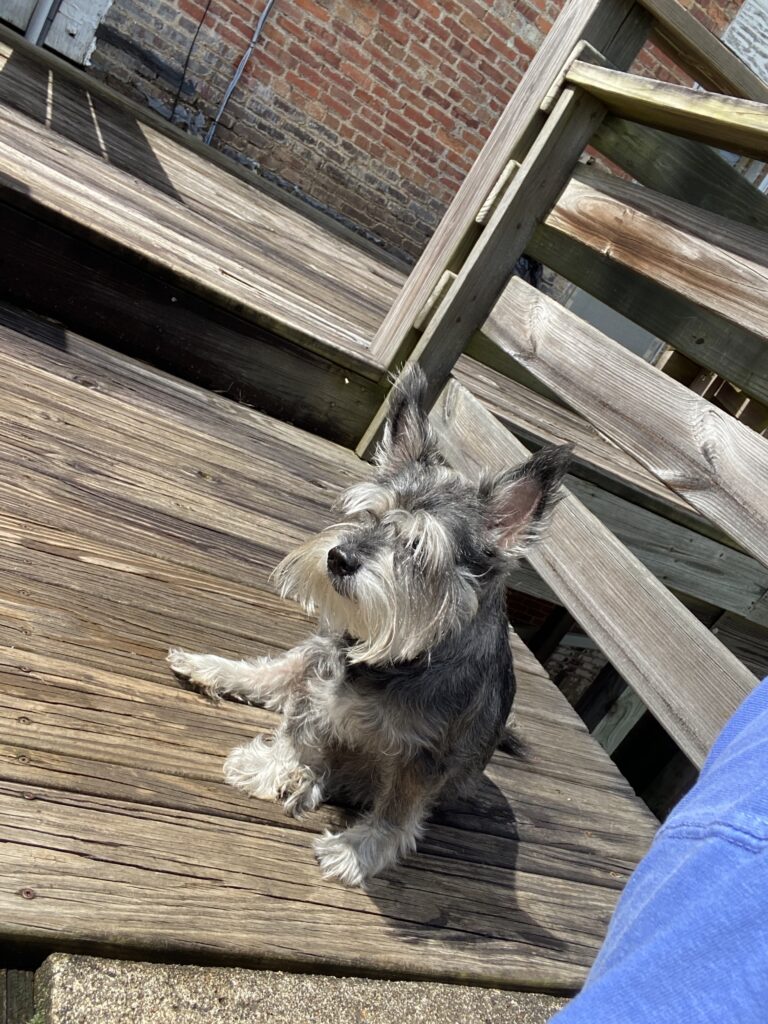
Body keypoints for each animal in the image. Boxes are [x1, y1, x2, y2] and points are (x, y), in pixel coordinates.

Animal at [168, 366, 570, 887]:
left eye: (416, 547)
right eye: (371, 514)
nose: (338, 558)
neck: (402, 657)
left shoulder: (423, 757)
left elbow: (396, 812)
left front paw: (358, 850)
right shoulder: (323, 687)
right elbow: (298, 733)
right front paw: (271, 766)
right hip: (316, 650)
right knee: (271, 675)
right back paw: (208, 668)